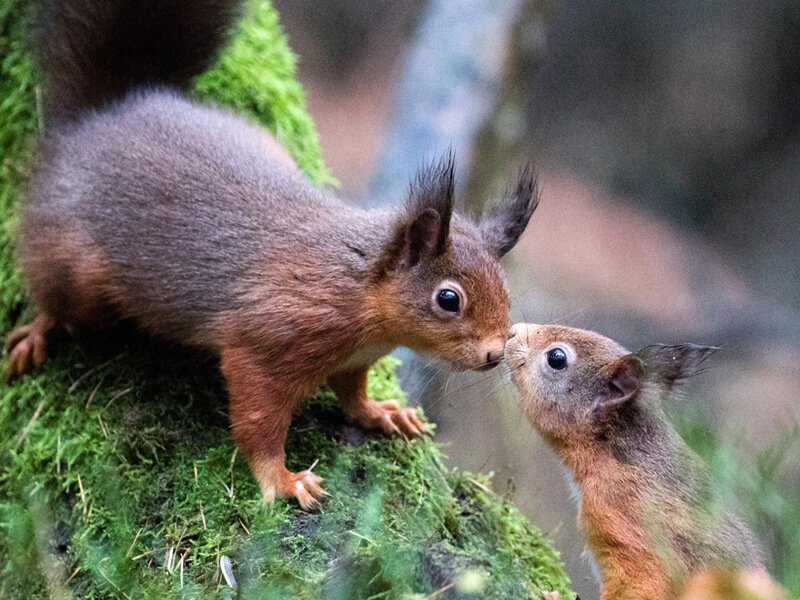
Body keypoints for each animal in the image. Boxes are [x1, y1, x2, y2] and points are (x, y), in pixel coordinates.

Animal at [3, 0, 539, 510]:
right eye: (448, 299)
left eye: (507, 292)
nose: (495, 354)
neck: (361, 293)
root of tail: (107, 115)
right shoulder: (267, 342)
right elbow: (258, 419)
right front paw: (282, 480)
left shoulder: (354, 359)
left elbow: (352, 392)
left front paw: (380, 412)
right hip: (77, 269)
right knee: (55, 293)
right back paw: (39, 331)